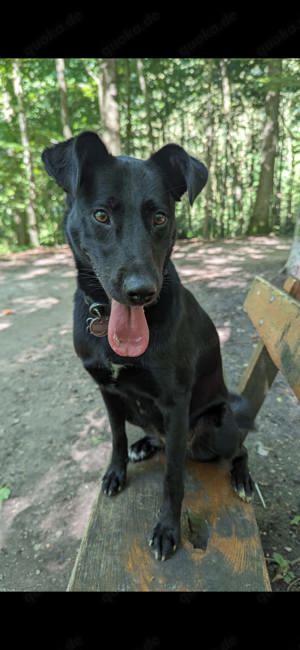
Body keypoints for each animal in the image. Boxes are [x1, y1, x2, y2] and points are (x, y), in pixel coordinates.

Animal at [42, 130, 253, 556]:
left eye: (160, 218)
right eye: (101, 216)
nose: (141, 292)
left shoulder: (175, 403)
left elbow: (173, 478)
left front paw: (168, 529)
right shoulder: (107, 391)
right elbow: (116, 437)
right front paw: (116, 471)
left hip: (214, 429)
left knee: (239, 447)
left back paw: (242, 478)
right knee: (151, 436)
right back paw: (145, 445)